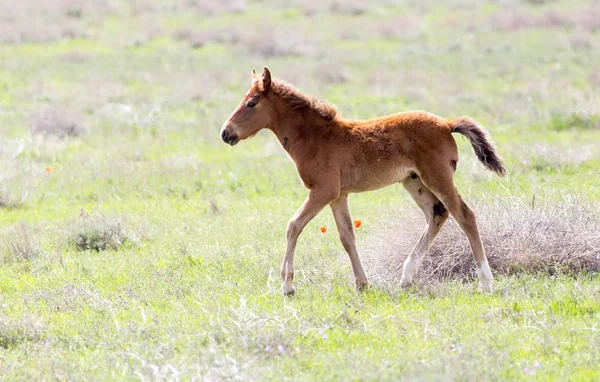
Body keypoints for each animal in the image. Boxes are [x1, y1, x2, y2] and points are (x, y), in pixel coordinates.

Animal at [219, 68, 502, 296]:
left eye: (252, 103)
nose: (225, 133)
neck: (315, 137)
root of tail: (446, 123)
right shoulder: (338, 195)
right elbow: (347, 236)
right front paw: (362, 284)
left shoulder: (323, 191)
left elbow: (293, 226)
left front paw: (287, 285)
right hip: (414, 181)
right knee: (437, 214)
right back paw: (406, 277)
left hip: (437, 176)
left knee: (465, 215)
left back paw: (486, 282)